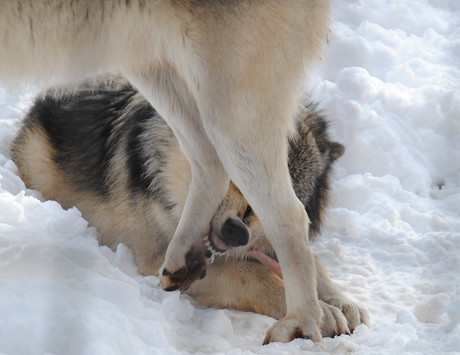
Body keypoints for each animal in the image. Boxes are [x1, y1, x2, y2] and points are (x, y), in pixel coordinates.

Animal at [0, 0, 360, 344]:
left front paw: (341, 301)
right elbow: (255, 275)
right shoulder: (152, 258)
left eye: (249, 214)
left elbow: (308, 260)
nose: (236, 232)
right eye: (236, 188)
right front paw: (327, 312)